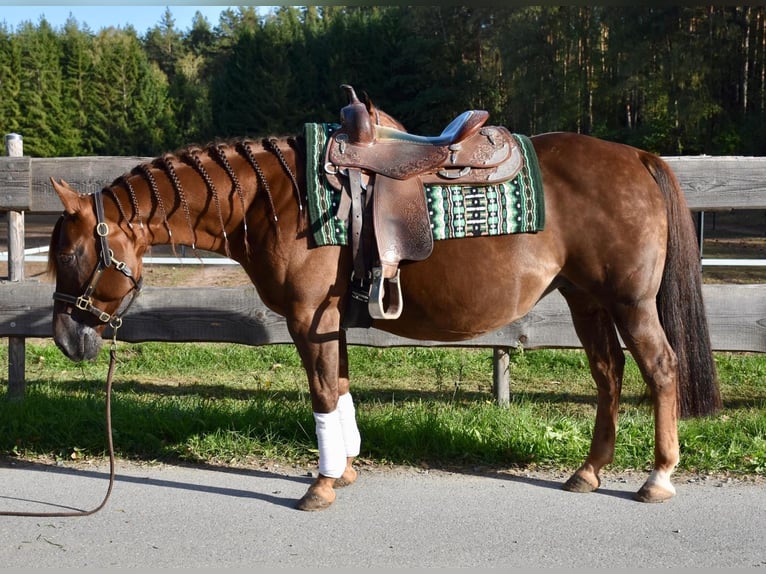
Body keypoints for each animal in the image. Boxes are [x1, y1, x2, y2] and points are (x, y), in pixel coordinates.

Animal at [47, 88, 721, 511]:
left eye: (73, 255)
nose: (65, 338)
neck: (276, 200)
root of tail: (638, 156)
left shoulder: (309, 317)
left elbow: (323, 394)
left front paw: (321, 486)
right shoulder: (331, 321)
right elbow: (341, 389)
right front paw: (343, 469)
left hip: (630, 302)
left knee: (660, 370)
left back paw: (658, 477)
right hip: (586, 300)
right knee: (609, 376)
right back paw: (588, 471)